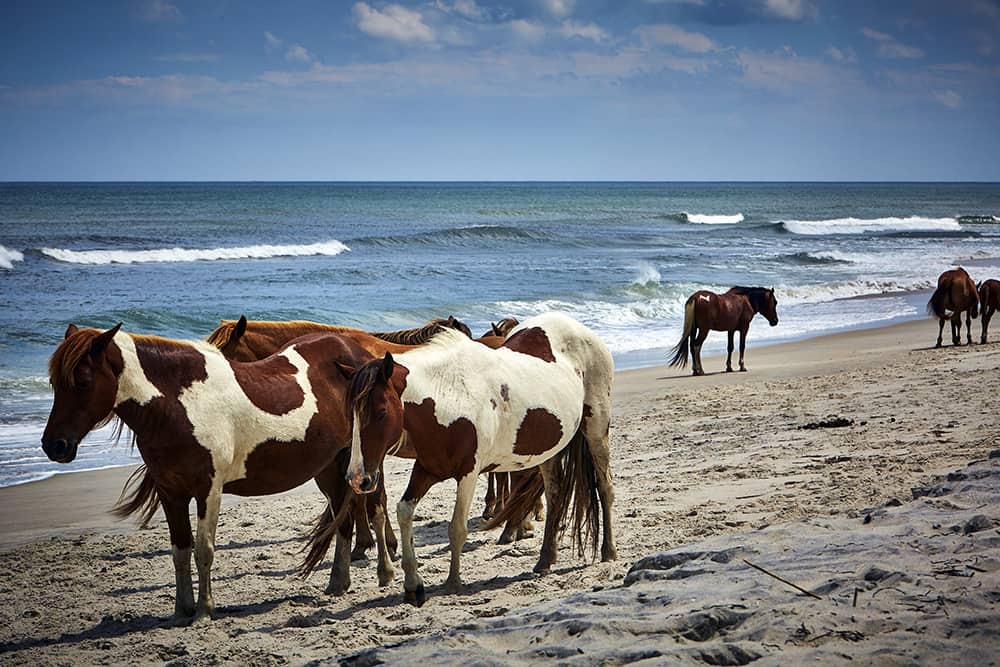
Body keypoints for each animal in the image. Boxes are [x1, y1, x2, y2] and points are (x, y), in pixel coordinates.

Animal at [40, 326, 378, 624]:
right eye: (54, 383)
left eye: (83, 382)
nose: (54, 445)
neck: (178, 405)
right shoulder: (171, 493)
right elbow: (180, 551)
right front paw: (181, 611)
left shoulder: (208, 491)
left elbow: (204, 550)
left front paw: (203, 611)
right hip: (327, 469)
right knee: (343, 517)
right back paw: (338, 583)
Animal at [342, 312, 616, 604]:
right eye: (352, 414)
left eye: (381, 412)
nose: (358, 478)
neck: (447, 395)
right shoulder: (426, 470)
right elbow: (404, 512)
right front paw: (413, 585)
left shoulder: (468, 474)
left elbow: (457, 528)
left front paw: (453, 582)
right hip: (549, 450)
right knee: (555, 495)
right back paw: (545, 559)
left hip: (597, 429)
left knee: (605, 486)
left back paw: (608, 551)